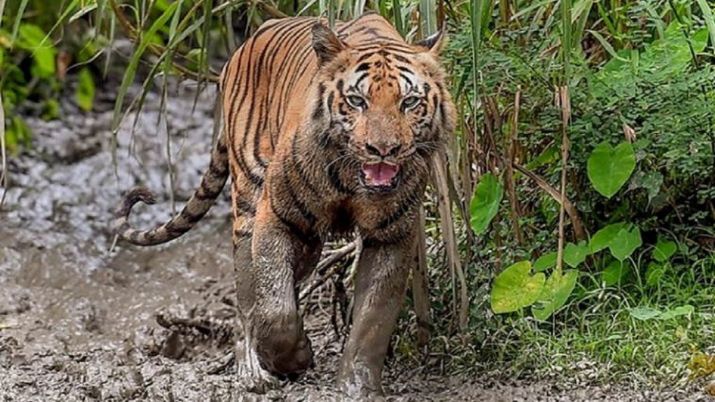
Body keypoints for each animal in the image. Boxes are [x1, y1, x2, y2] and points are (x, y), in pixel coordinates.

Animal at [112, 11, 455, 398]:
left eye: (409, 103)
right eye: (357, 100)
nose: (383, 149)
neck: (352, 181)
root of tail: (247, 42)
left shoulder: (392, 235)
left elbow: (373, 318)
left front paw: (358, 386)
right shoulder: (278, 217)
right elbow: (275, 308)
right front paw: (295, 357)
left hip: (309, 243)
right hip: (249, 201)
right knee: (247, 300)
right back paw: (252, 371)